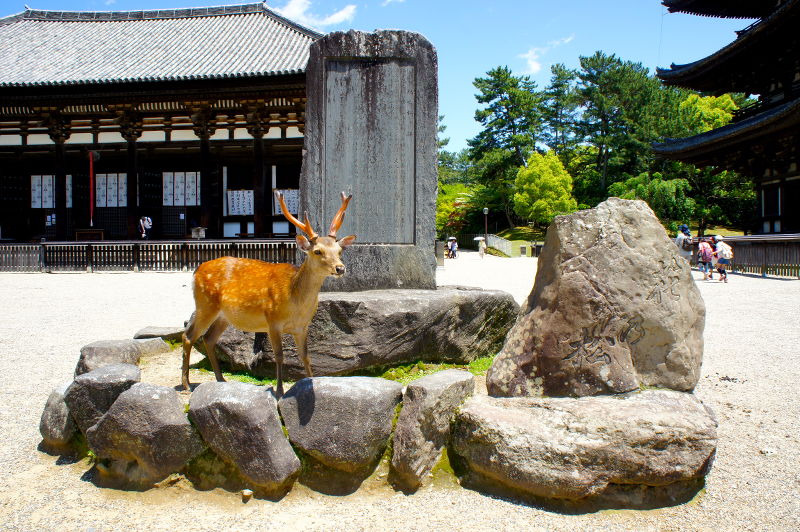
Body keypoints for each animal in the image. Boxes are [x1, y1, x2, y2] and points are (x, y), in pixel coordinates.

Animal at [183, 190, 358, 394]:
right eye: (317, 251)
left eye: (339, 251)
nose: (340, 268)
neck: (295, 302)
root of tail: (196, 270)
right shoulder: (272, 320)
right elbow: (279, 355)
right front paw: (279, 391)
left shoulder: (302, 326)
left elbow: (306, 356)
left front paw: (311, 383)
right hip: (205, 304)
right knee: (188, 335)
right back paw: (187, 384)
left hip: (223, 316)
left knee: (208, 338)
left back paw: (221, 379)